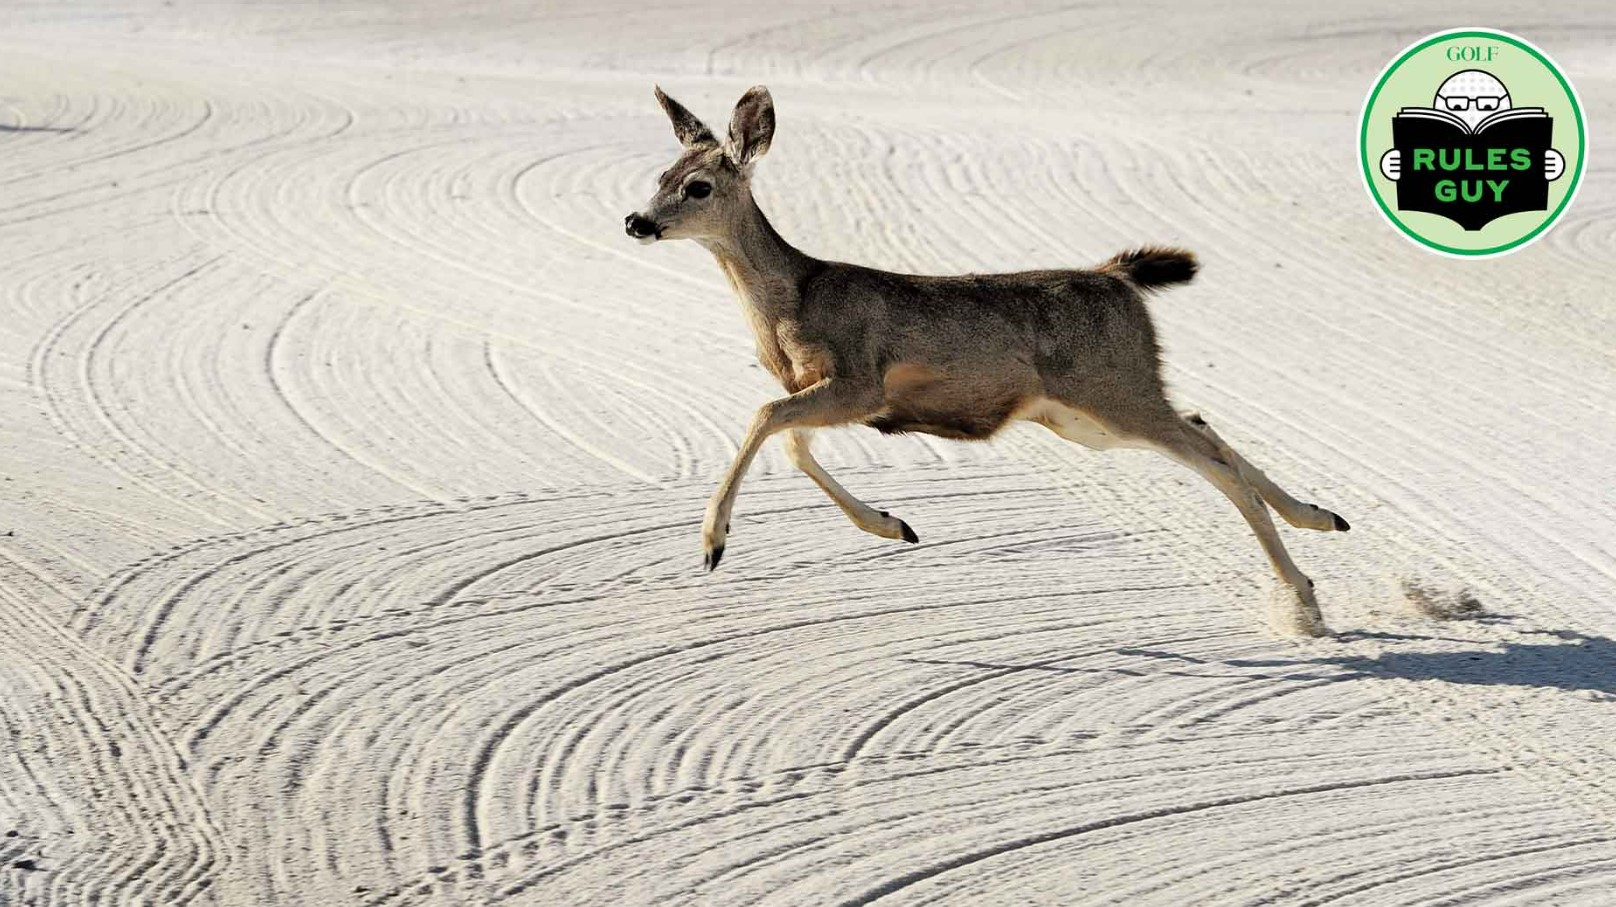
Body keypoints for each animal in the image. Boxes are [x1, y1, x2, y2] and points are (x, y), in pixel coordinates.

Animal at [624, 85, 1350, 635]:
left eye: (696, 187)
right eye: (659, 176)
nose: (636, 221)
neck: (790, 301)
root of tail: (1118, 278)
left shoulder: (859, 380)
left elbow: (766, 413)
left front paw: (713, 542)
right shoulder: (832, 391)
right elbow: (793, 443)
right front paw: (892, 526)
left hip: (1111, 390)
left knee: (1215, 464)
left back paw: (1306, 604)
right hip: (1084, 417)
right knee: (1202, 424)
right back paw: (1322, 517)